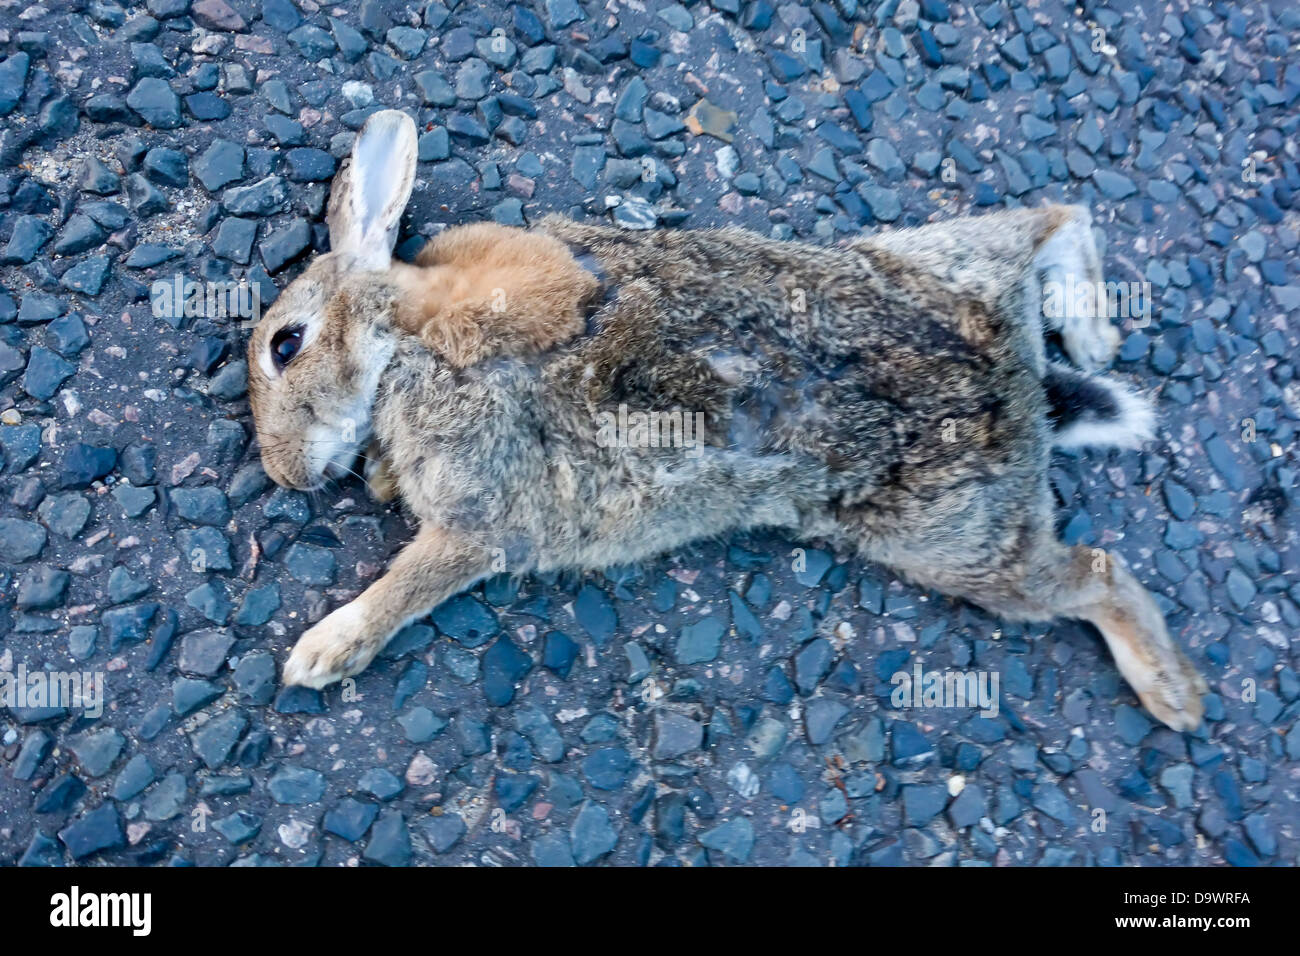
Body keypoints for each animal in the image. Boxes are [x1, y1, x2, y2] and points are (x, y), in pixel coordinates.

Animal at [247, 109, 1207, 732]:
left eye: (285, 345)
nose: (284, 475)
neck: (401, 355)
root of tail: (1016, 387)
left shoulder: (477, 519)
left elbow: (409, 583)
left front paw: (318, 655)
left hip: (959, 542)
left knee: (1096, 573)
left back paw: (1176, 698)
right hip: (938, 263)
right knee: (1043, 220)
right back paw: (1091, 327)